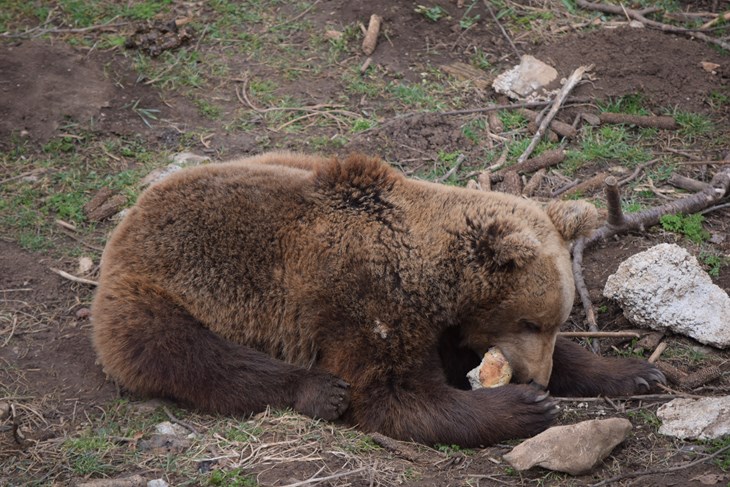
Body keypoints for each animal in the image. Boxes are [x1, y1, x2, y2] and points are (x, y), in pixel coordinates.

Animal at [89, 152, 660, 446]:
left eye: (556, 321)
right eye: (531, 321)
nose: (536, 379)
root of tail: (129, 219)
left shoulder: (447, 321)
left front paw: (636, 372)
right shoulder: (368, 300)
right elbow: (390, 394)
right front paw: (522, 406)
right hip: (160, 291)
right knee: (189, 354)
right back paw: (318, 391)